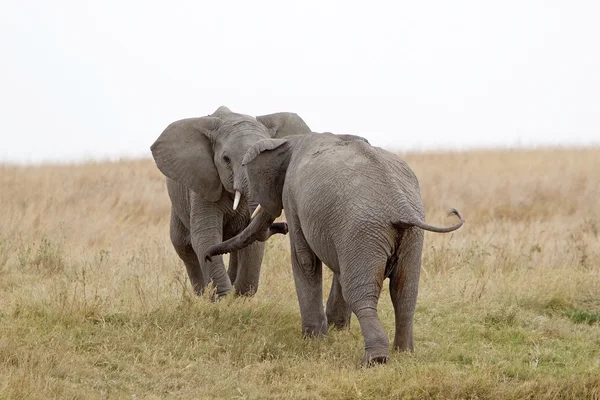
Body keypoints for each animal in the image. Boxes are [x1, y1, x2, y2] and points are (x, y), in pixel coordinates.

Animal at [149, 106, 310, 296]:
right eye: (226, 159)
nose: (284, 227)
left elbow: (251, 238)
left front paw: (239, 297)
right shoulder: (204, 184)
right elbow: (206, 235)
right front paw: (222, 297)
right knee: (184, 247)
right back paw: (202, 294)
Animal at [203, 133, 464, 364]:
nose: (206, 257)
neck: (290, 141)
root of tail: (399, 203)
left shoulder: (293, 198)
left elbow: (304, 261)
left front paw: (312, 339)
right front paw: (335, 331)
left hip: (364, 228)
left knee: (361, 292)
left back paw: (375, 359)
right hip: (406, 234)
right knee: (404, 291)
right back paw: (404, 353)